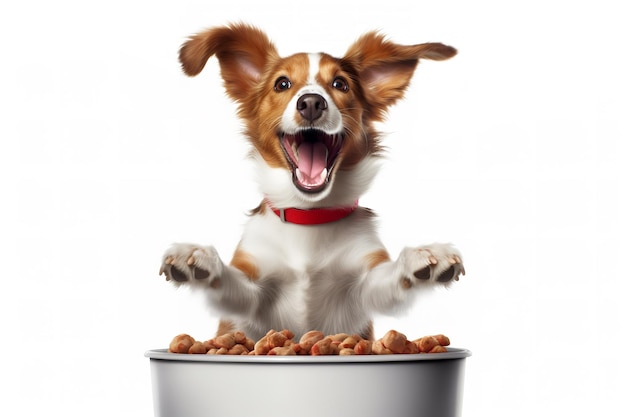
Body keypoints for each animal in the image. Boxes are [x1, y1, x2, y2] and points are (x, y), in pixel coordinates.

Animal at [160, 23, 464, 342]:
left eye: (340, 84)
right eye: (282, 84)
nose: (311, 103)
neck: (308, 215)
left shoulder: (364, 287)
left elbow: (386, 282)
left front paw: (424, 255)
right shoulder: (251, 291)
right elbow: (235, 286)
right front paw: (198, 257)